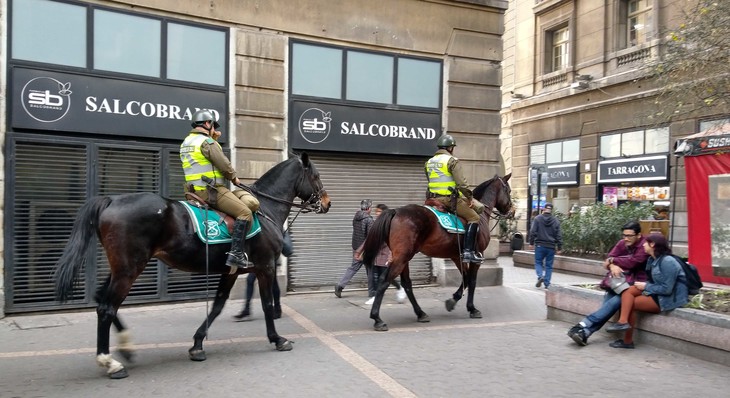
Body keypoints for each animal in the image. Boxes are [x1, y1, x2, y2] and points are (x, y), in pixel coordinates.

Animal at [54, 153, 330, 380]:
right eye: (315, 176)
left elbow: (218, 305)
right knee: (106, 308)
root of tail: (111, 200)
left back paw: (126, 347)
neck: (264, 209)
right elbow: (267, 304)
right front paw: (277, 339)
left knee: (102, 299)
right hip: (129, 269)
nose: (327, 202)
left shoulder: (232, 271)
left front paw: (197, 344)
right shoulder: (265, 267)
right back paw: (110, 362)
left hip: (121, 268)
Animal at [360, 173, 510, 332]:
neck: (479, 217)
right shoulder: (477, 256)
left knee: (407, 284)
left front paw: (452, 301)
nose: (511, 210)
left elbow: (466, 278)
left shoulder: (457, 256)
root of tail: (395, 211)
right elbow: (472, 281)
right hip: (401, 258)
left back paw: (420, 313)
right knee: (384, 281)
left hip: (403, 258)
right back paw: (377, 319)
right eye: (508, 190)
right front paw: (471, 308)